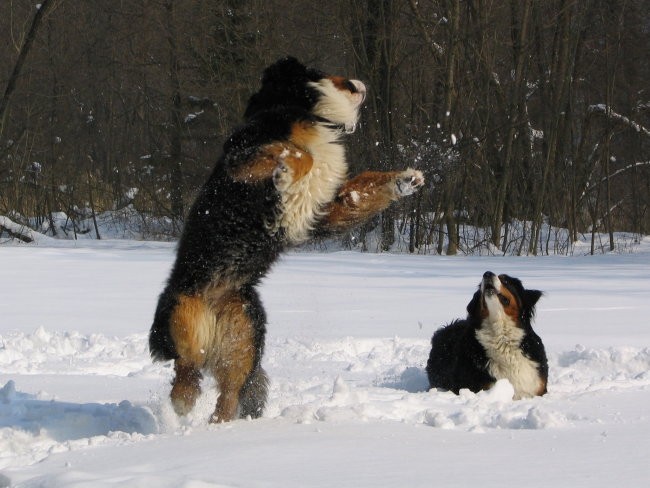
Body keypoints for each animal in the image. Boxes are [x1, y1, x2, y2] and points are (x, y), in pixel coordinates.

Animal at [149, 57, 422, 424]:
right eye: (321, 70)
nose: (360, 83)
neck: (306, 112)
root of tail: (215, 298)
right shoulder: (242, 155)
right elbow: (298, 153)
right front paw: (284, 173)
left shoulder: (326, 207)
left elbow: (363, 188)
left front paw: (406, 180)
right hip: (184, 317)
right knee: (185, 369)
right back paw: (183, 401)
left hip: (244, 334)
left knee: (227, 395)